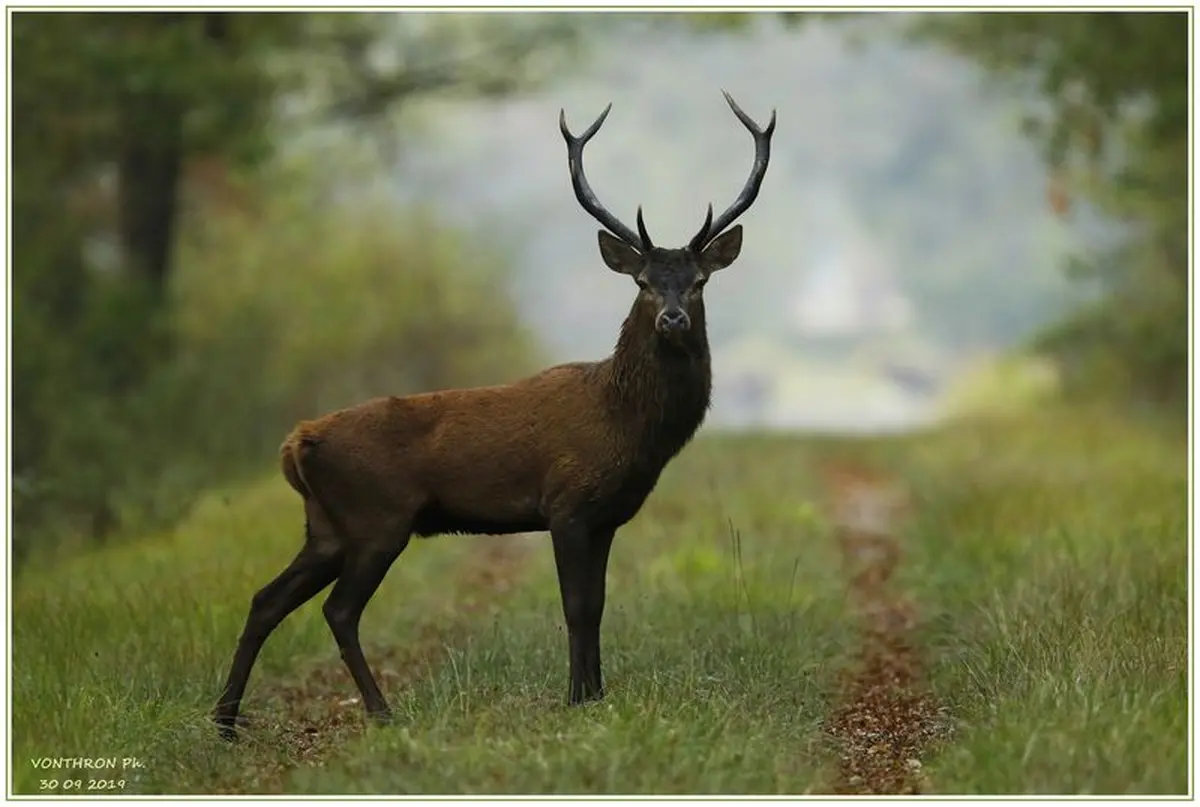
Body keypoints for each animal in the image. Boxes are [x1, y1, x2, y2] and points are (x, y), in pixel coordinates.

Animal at [213, 91, 775, 741]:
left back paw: (225, 722)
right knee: (339, 609)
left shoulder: (606, 517)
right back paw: (380, 711)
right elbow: (577, 606)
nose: (673, 318)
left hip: (326, 525)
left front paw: (598, 695)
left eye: (700, 281)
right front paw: (576, 699)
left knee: (265, 599)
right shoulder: (566, 504)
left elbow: (599, 604)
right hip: (377, 517)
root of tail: (297, 443)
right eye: (642, 282)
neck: (626, 427)